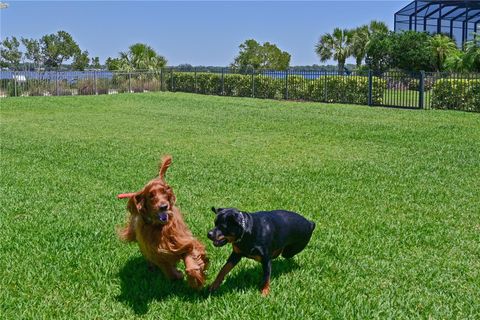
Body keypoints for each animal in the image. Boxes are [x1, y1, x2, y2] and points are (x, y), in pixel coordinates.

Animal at [117, 156, 207, 288]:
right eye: (151, 195)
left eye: (164, 192)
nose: (164, 206)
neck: (160, 227)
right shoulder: (158, 254)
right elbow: (168, 270)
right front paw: (178, 275)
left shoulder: (183, 241)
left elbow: (190, 258)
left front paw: (195, 276)